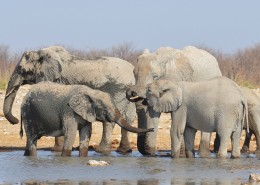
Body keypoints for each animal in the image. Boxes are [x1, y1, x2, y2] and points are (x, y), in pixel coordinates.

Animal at [3, 45, 136, 154]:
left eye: (22, 70)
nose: (15, 120)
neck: (41, 52)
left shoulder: (57, 80)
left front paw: (55, 150)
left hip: (117, 88)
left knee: (110, 120)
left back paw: (101, 151)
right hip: (126, 91)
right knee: (128, 118)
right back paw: (124, 151)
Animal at [21, 82, 154, 156]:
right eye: (104, 109)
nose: (152, 129)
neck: (91, 93)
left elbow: (86, 132)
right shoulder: (68, 111)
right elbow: (70, 133)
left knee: (30, 140)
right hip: (28, 113)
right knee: (32, 138)